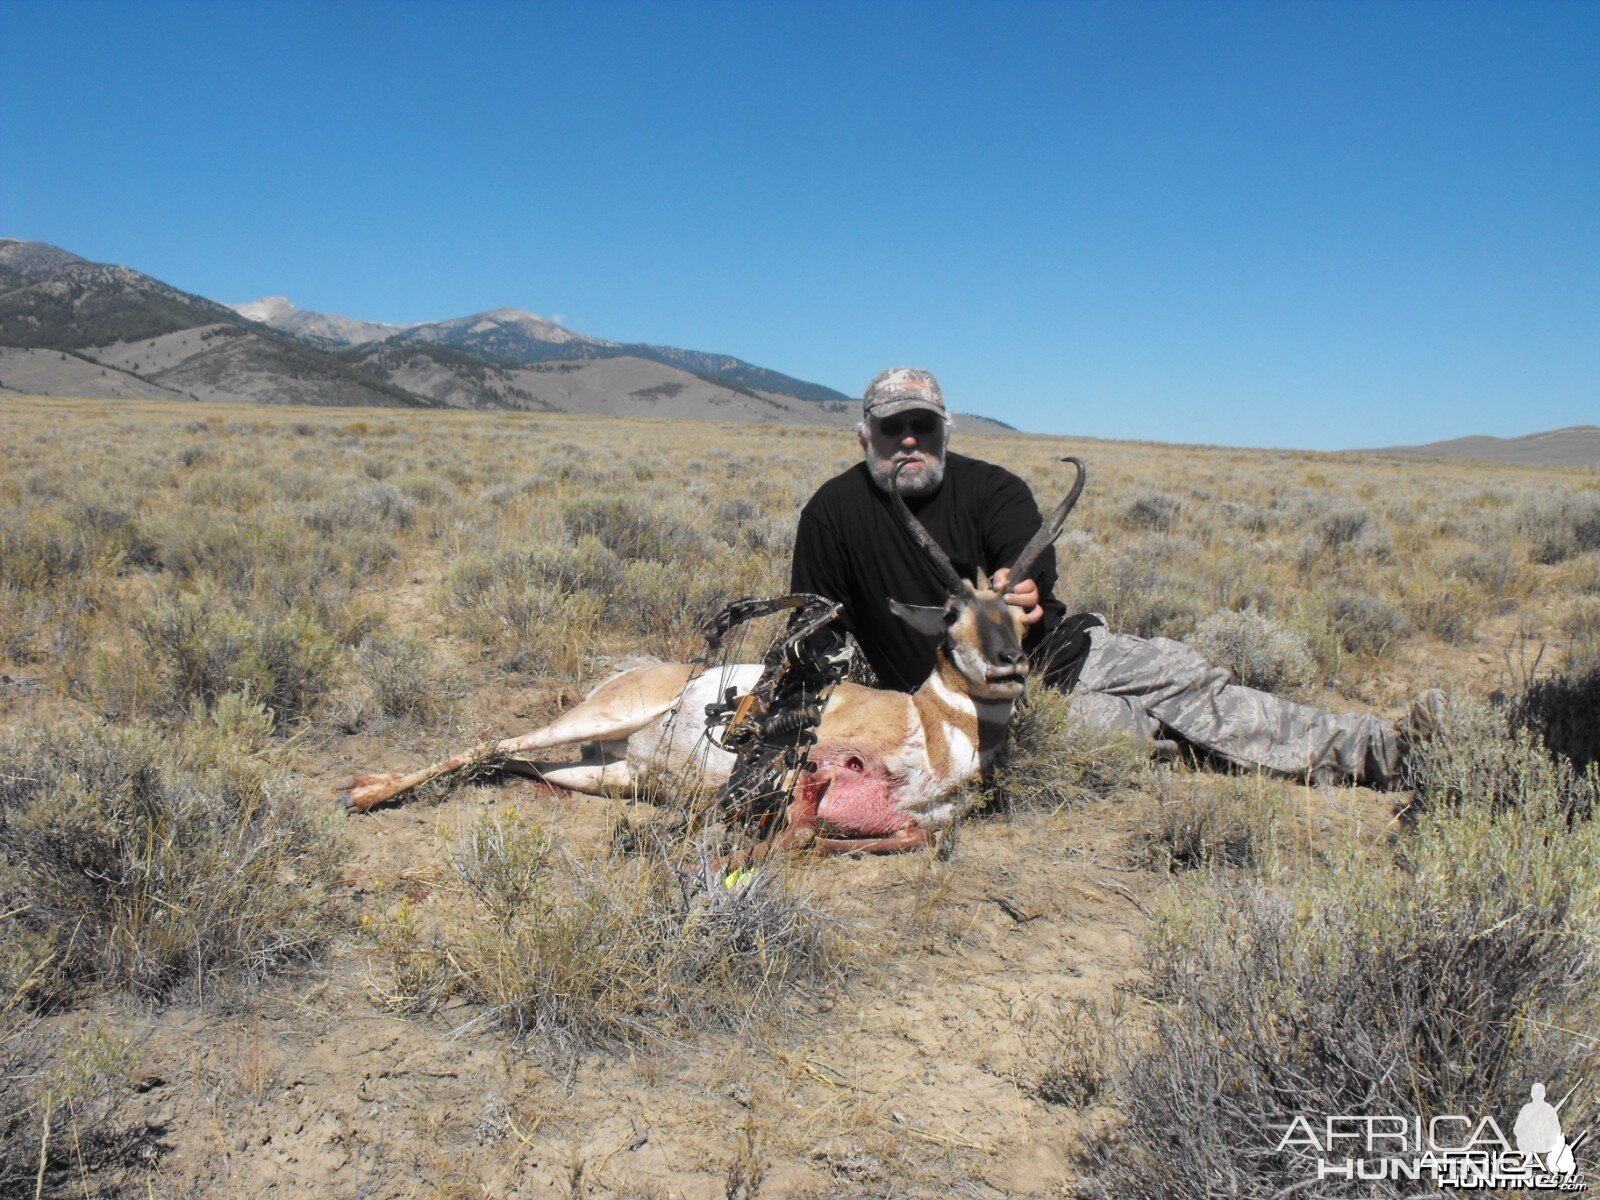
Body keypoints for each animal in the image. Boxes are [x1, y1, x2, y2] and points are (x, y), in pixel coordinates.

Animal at [340, 457, 1088, 857]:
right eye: (952, 616)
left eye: (1020, 614)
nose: (1007, 667)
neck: (934, 731)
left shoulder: (912, 825)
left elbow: (882, 835)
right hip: (597, 722)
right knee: (493, 741)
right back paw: (363, 792)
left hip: (615, 775)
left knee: (519, 762)